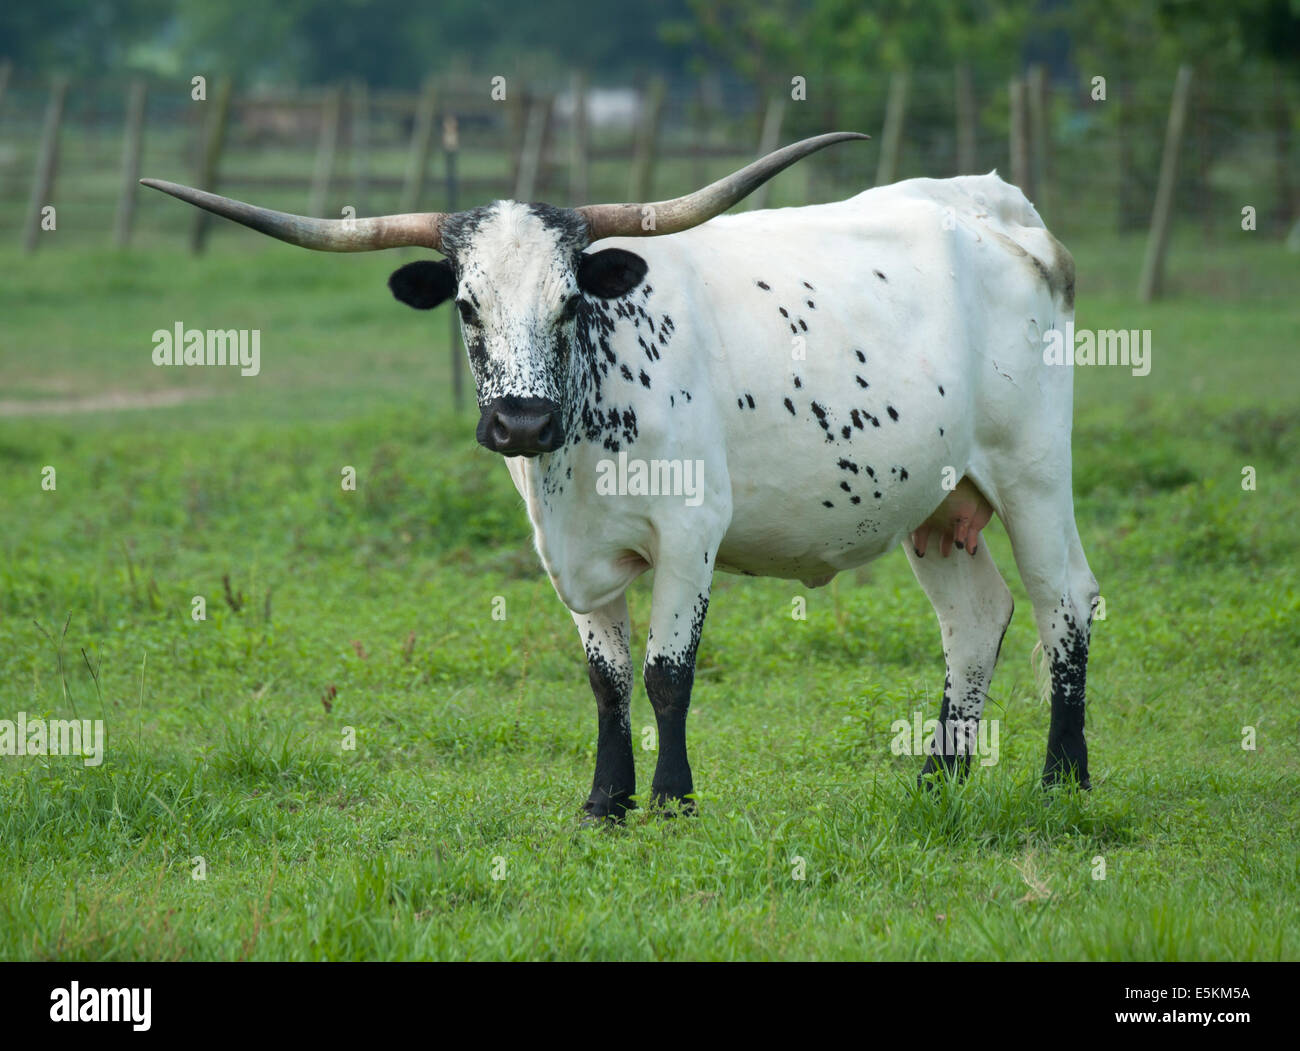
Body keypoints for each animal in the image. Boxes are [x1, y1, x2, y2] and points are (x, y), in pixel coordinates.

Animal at [142, 131, 1097, 822]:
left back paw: (1063, 779)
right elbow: (607, 683)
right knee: (976, 620)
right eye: (467, 306)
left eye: (570, 301)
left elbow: (669, 672)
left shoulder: (690, 533)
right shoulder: (570, 554)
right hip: (937, 504)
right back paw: (940, 779)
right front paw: (606, 799)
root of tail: (992, 202)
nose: (521, 420)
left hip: (1033, 472)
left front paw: (672, 799)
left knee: (1064, 602)